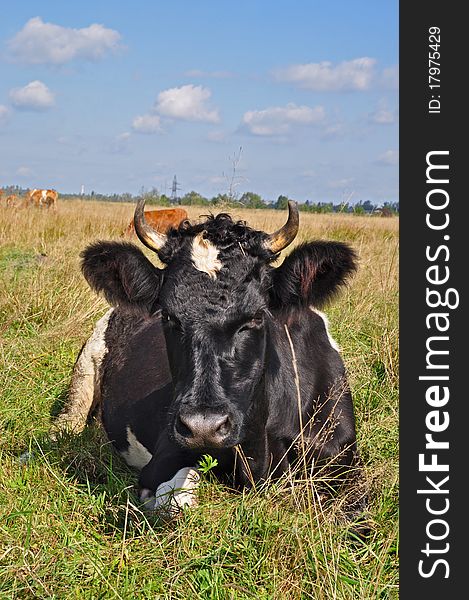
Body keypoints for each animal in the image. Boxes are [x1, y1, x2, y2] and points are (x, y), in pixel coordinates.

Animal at [56, 200, 364, 516]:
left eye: (257, 316)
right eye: (168, 316)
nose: (203, 426)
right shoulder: (166, 452)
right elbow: (175, 499)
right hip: (83, 377)